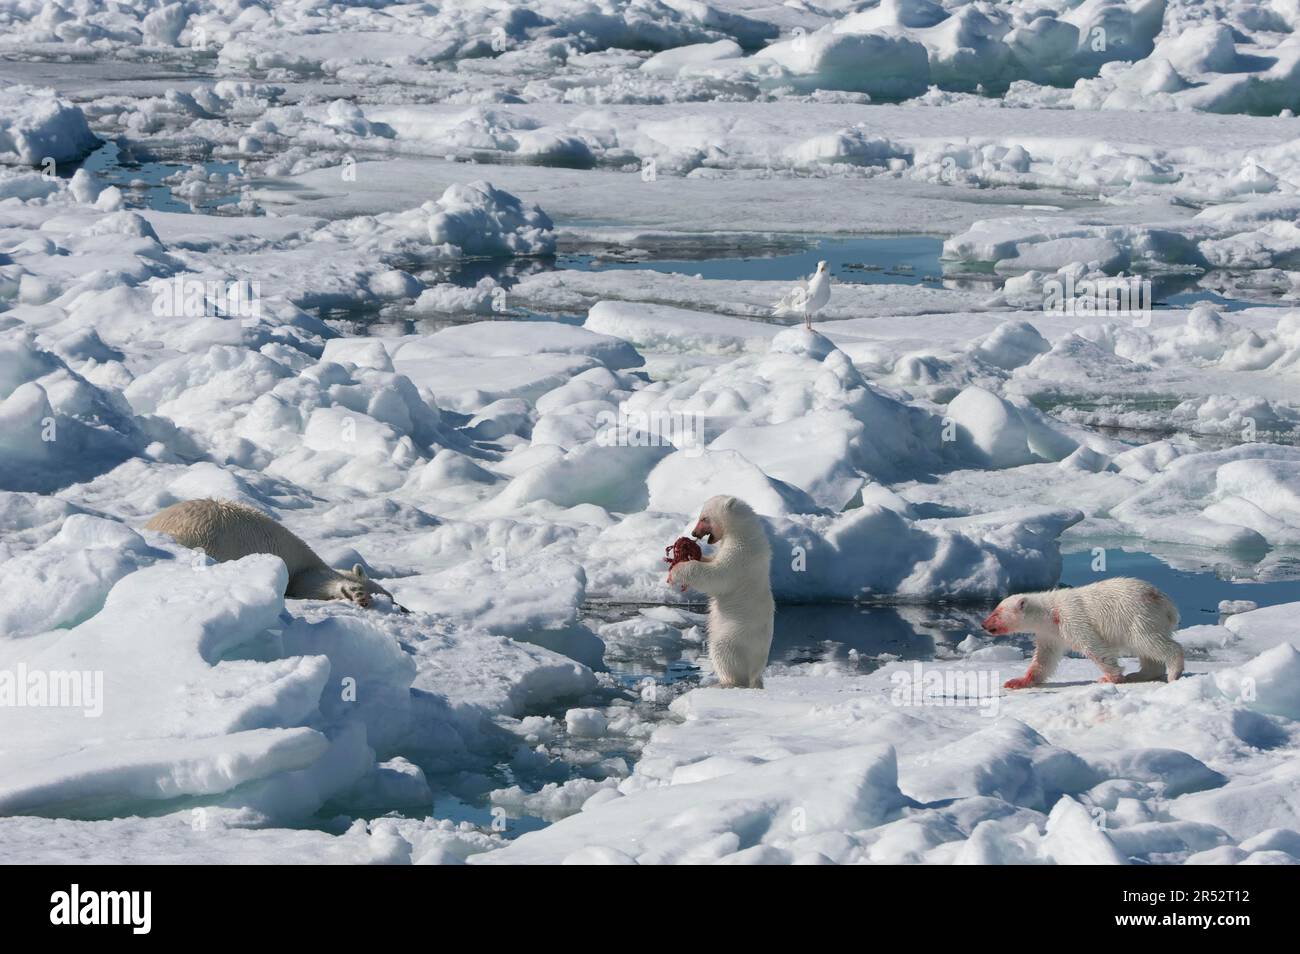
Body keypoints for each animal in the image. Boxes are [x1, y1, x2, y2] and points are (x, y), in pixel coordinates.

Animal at [143, 501, 400, 613]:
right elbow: (316, 584)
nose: (405, 609)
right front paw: (358, 594)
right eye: (392, 599)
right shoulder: (303, 571)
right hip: (204, 536)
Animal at [670, 496, 769, 691]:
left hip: (734, 634)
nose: (693, 533)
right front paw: (692, 552)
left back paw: (723, 682)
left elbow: (718, 576)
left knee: (722, 651)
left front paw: (677, 570)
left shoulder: (740, 553)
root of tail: (756, 670)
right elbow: (712, 561)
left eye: (704, 518)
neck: (744, 529)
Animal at [977, 579, 1185, 691]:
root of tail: (1168, 605)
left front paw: (1111, 678)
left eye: (996, 612)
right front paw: (1017, 681)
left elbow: (1092, 646)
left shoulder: (1072, 619)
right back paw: (1139, 674)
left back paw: (1173, 672)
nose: (983, 624)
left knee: (1149, 642)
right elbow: (1045, 658)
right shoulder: (1050, 633)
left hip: (1137, 616)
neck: (1050, 611)